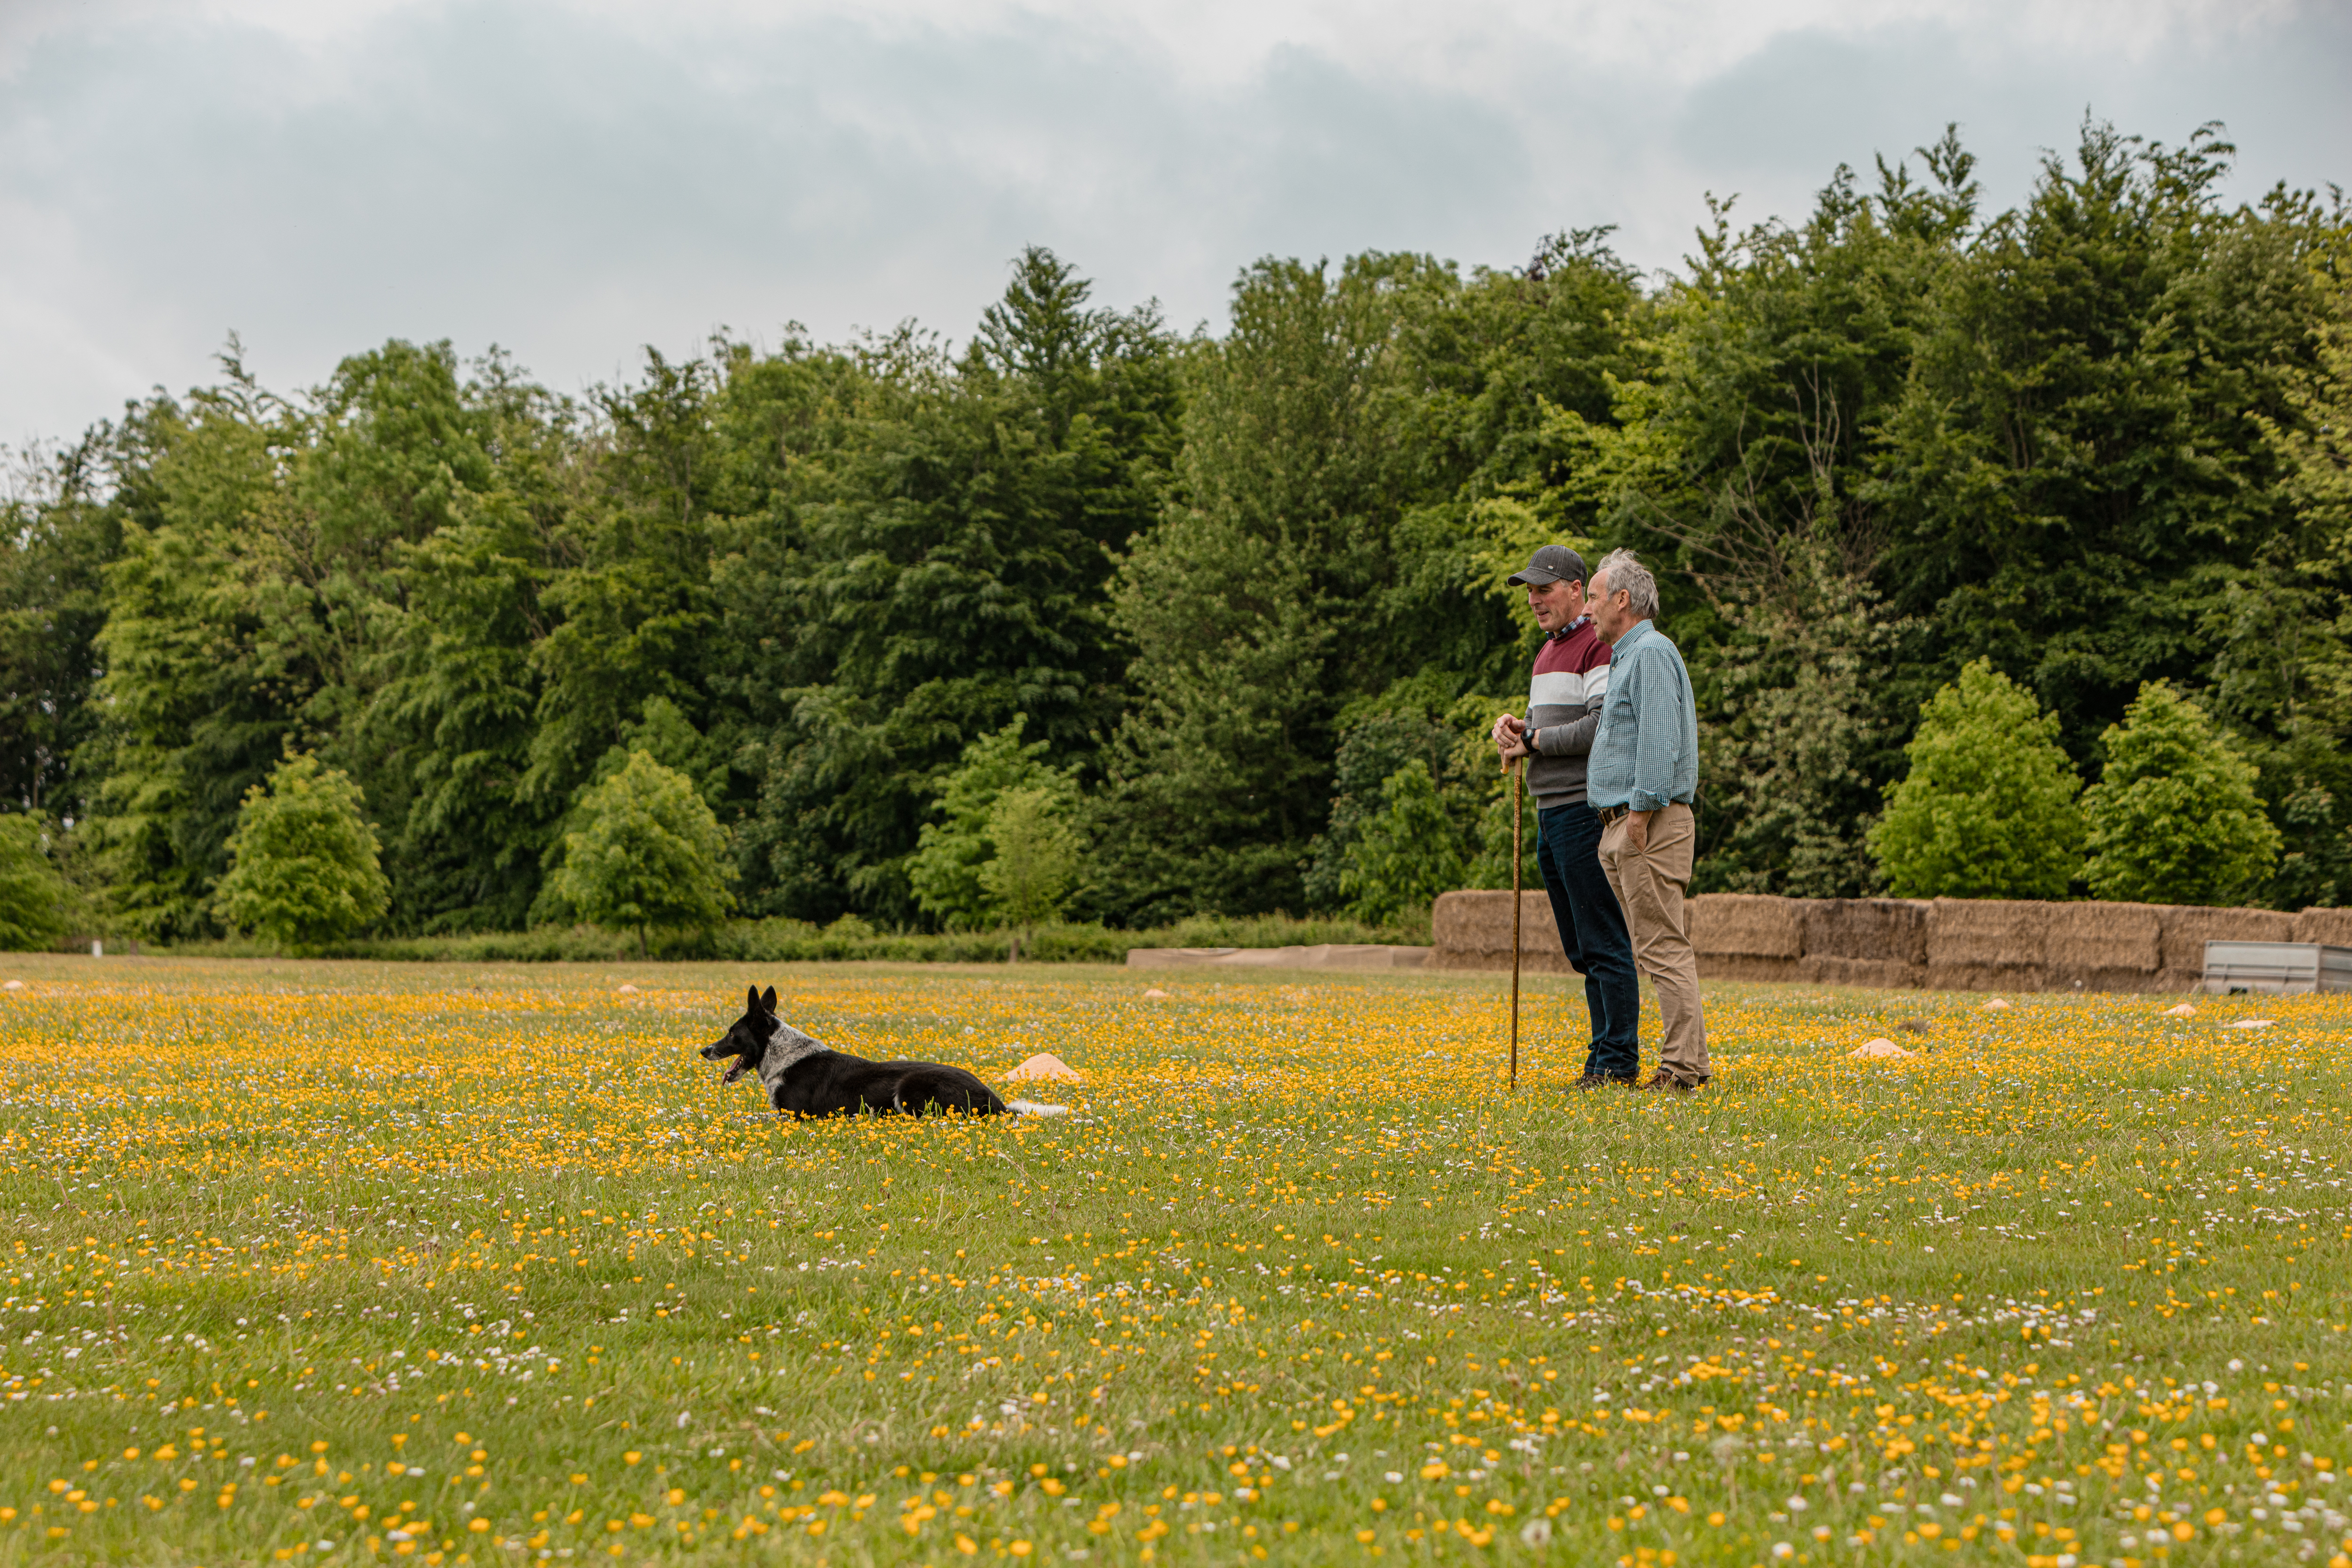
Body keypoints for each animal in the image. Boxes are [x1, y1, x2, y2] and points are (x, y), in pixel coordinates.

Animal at [696, 987, 1068, 1123]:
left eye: (732, 1034)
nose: (704, 1051)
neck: (783, 1052)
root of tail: (997, 1103)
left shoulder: (795, 1116)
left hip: (908, 1089)